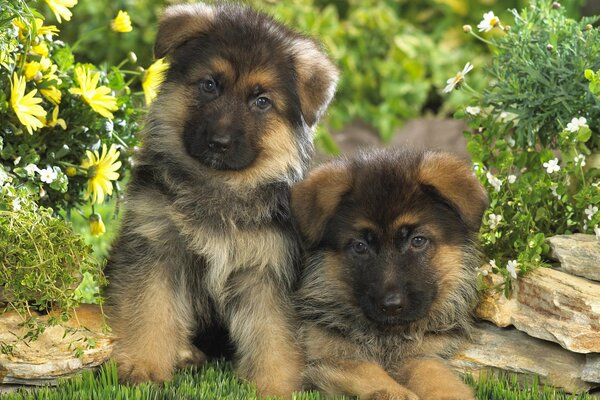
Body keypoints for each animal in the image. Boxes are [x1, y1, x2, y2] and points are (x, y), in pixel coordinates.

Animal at [103, 3, 338, 396]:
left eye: (262, 102)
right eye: (209, 85)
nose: (219, 142)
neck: (219, 187)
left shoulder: (268, 271)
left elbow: (274, 334)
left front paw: (277, 387)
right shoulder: (155, 251)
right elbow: (150, 312)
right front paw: (144, 368)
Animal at [290, 149, 488, 400]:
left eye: (418, 241)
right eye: (360, 246)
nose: (391, 306)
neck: (387, 336)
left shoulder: (422, 353)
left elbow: (434, 374)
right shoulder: (329, 356)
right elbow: (369, 372)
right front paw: (397, 393)